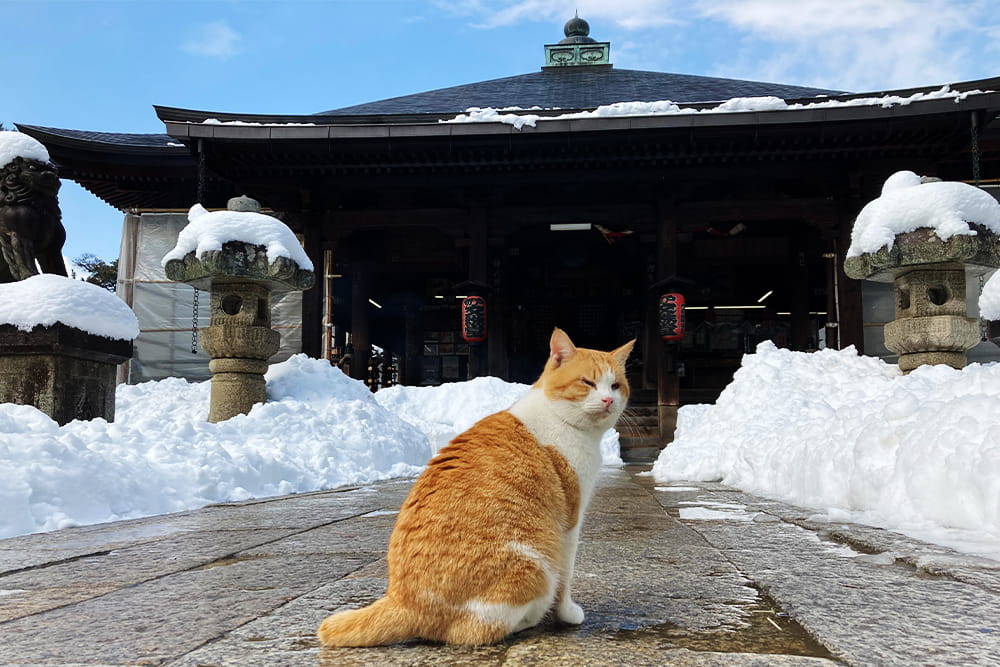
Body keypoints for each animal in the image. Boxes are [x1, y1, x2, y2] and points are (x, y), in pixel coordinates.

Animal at [318, 330, 632, 648]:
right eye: (587, 382)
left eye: (615, 385)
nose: (607, 399)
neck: (563, 421)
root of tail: (403, 601)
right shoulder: (570, 522)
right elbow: (566, 578)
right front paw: (567, 614)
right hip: (536, 564)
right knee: (477, 630)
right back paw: (529, 619)